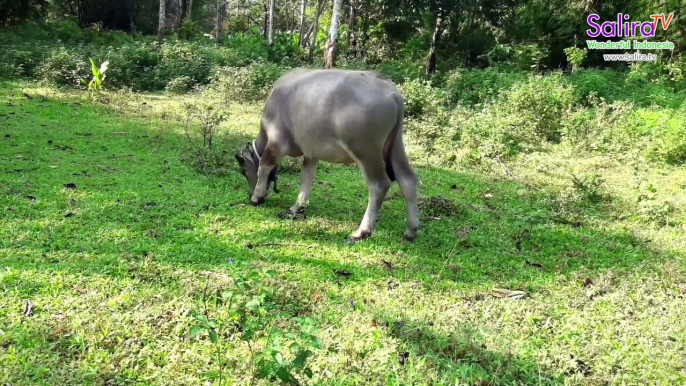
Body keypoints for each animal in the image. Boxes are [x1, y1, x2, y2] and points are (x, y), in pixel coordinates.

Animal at [235, 66, 420, 241]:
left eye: (243, 171)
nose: (249, 193)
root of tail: (391, 92)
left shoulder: (276, 143)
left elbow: (264, 167)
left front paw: (256, 197)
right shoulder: (311, 153)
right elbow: (306, 178)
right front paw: (297, 207)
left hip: (366, 150)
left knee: (379, 184)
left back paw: (362, 231)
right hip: (395, 145)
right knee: (407, 179)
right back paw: (411, 230)